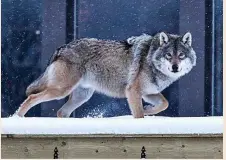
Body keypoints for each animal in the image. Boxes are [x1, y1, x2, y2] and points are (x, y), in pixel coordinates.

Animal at [14, 31, 196, 118]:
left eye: (181, 55)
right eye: (169, 55)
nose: (175, 67)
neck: (151, 59)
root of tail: (61, 48)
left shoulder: (147, 93)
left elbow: (164, 104)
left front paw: (149, 110)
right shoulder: (132, 92)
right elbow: (139, 115)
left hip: (81, 96)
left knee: (61, 112)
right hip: (60, 91)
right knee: (31, 98)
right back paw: (17, 119)